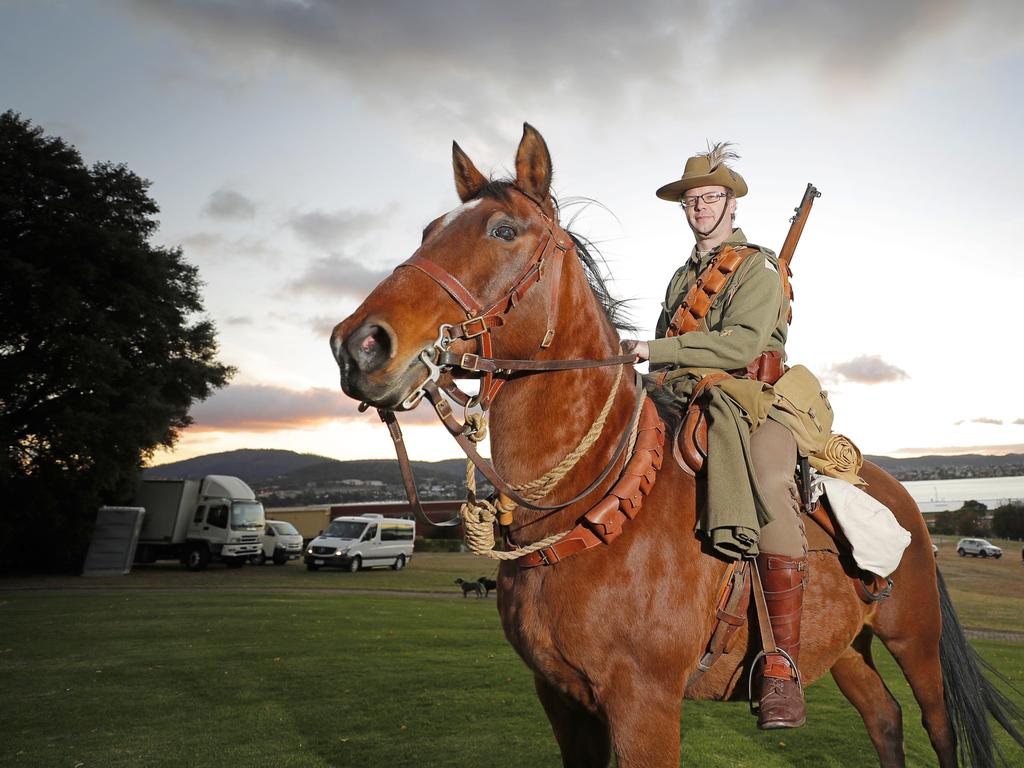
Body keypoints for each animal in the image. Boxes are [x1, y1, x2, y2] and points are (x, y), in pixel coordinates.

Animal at [331, 123, 1019, 765]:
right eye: (428, 230)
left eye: (503, 230)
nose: (358, 344)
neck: (590, 506)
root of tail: (899, 497)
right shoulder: (562, 703)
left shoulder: (645, 706)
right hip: (845, 648)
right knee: (884, 719)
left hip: (916, 643)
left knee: (937, 725)